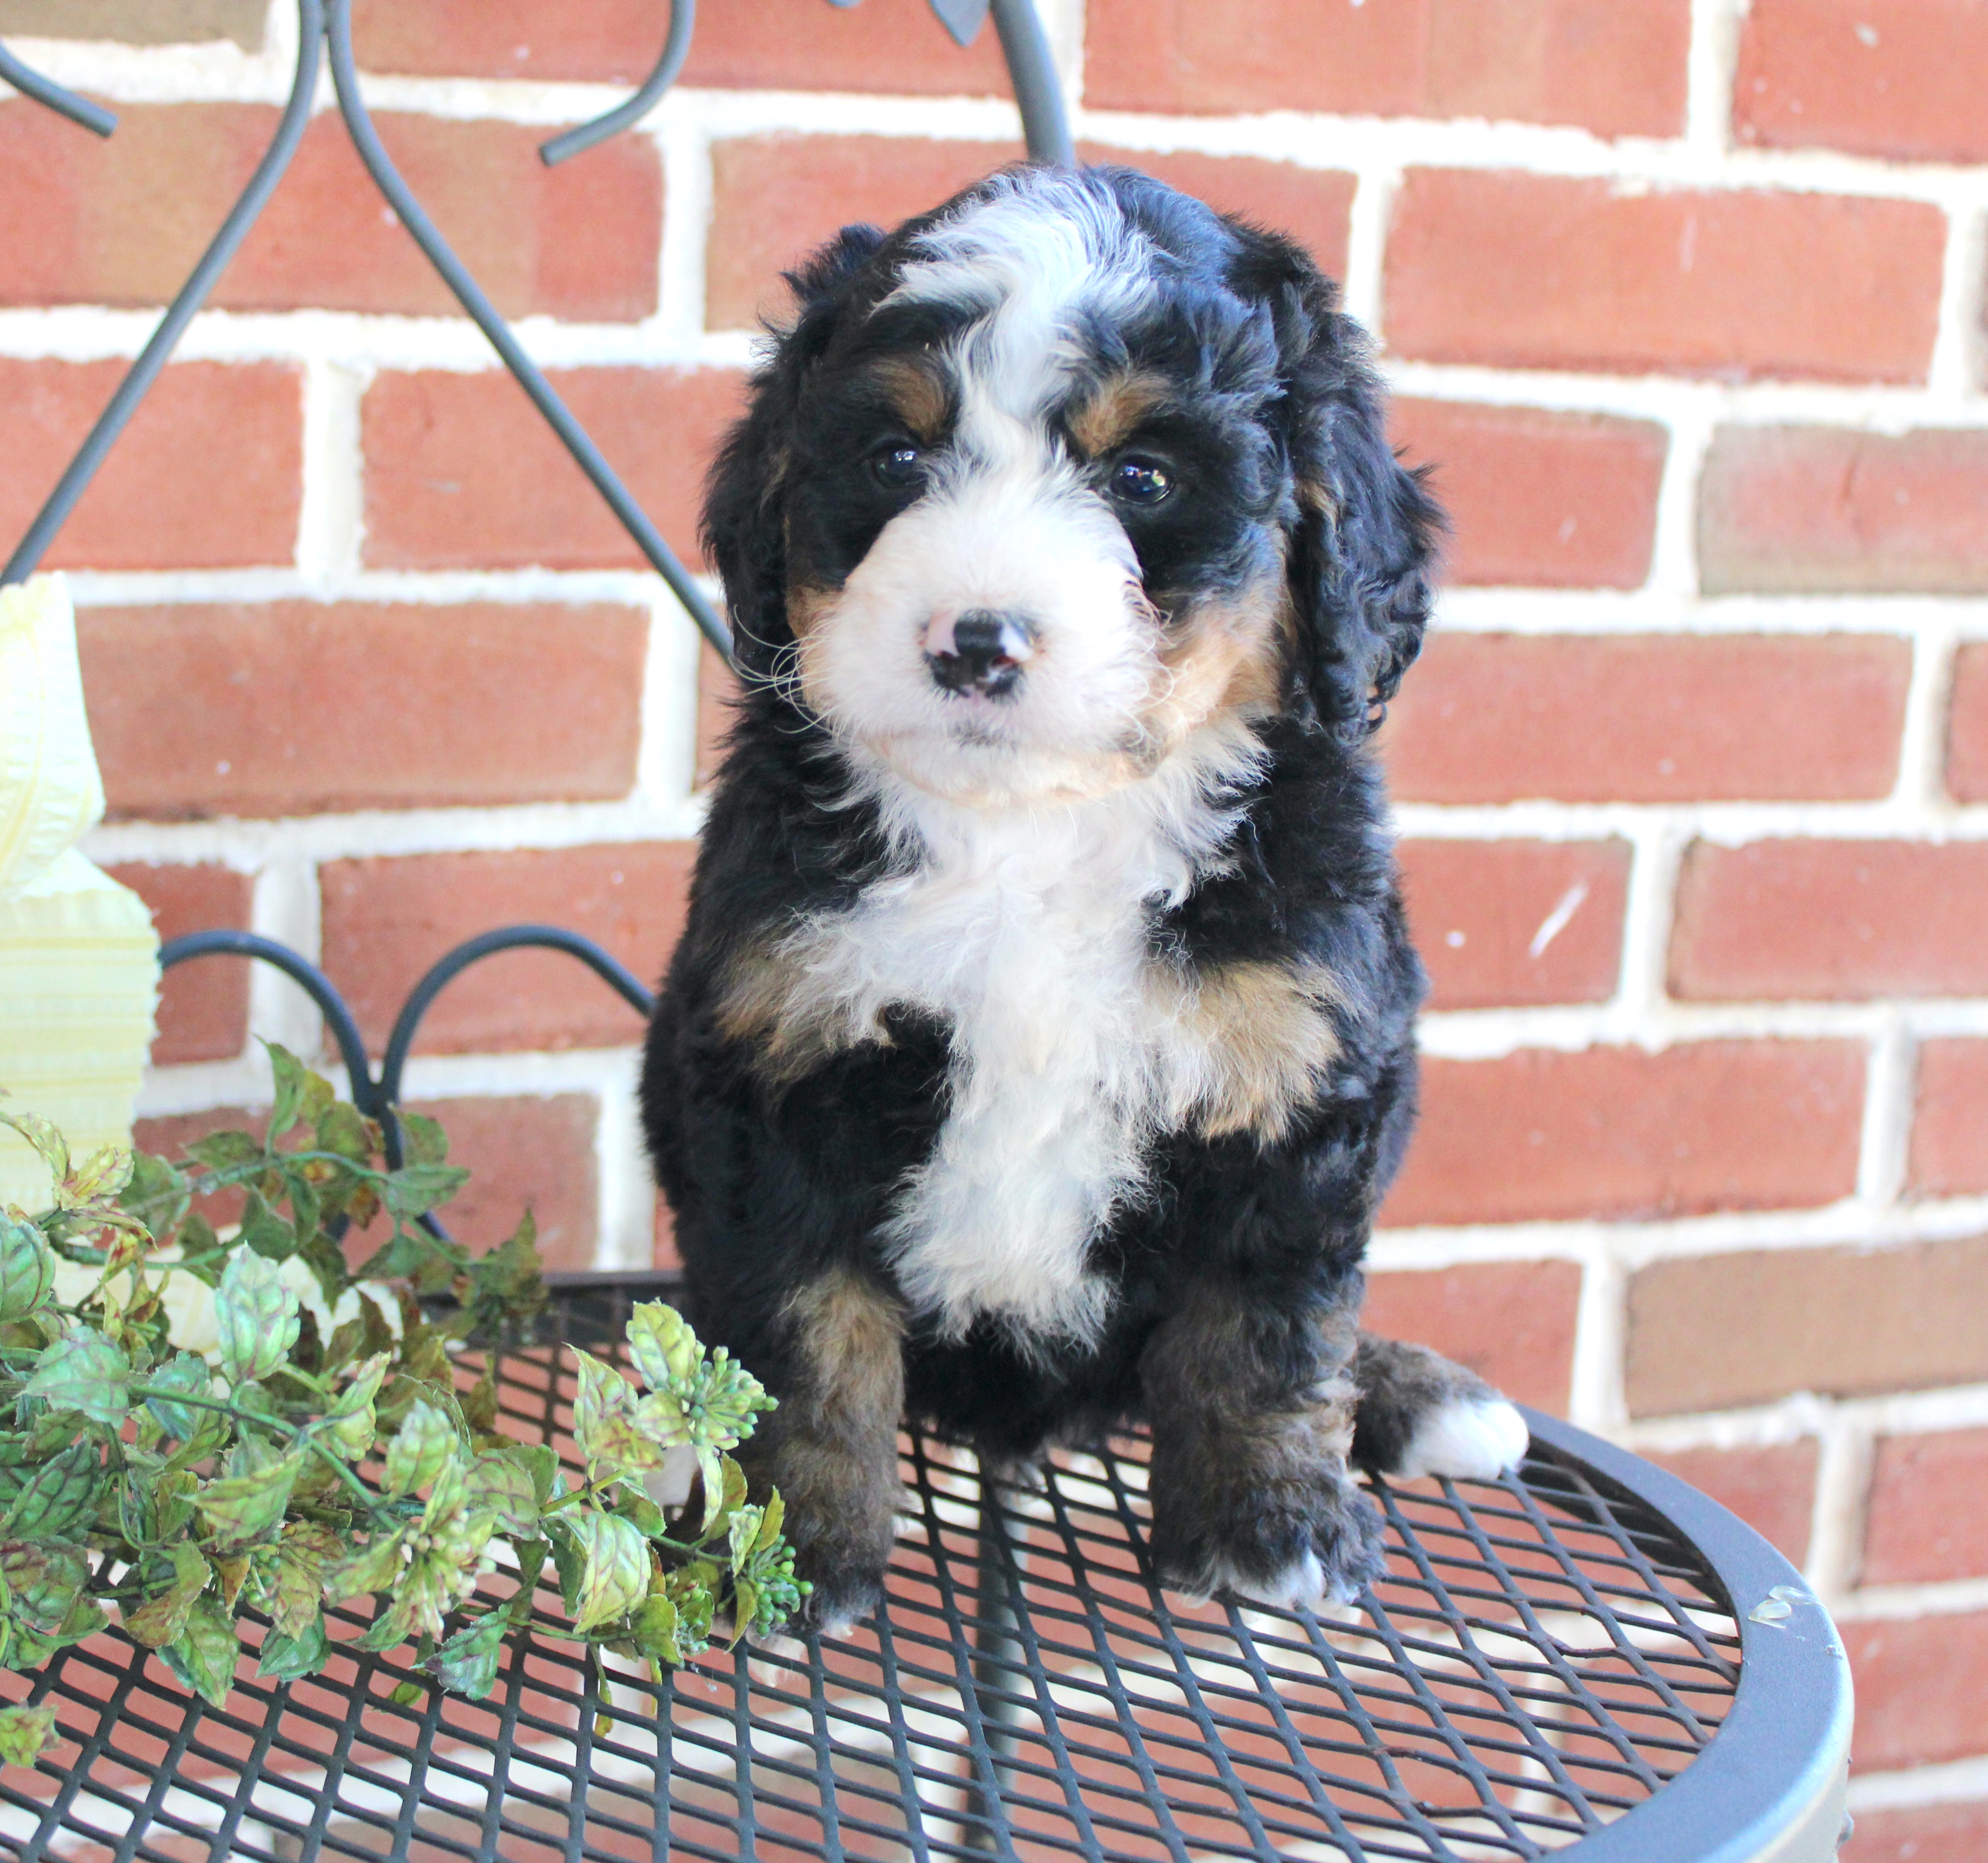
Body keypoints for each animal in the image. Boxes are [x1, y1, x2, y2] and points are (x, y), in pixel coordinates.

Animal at [644, 164, 1527, 1630]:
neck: (1035, 837)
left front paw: (1269, 1523)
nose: (974, 643)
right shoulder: (777, 1062)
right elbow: (804, 1336)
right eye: (896, 460)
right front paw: (790, 1543)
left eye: (1142, 476)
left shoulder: (1300, 1072)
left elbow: (1268, 1330)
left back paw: (1424, 1395)